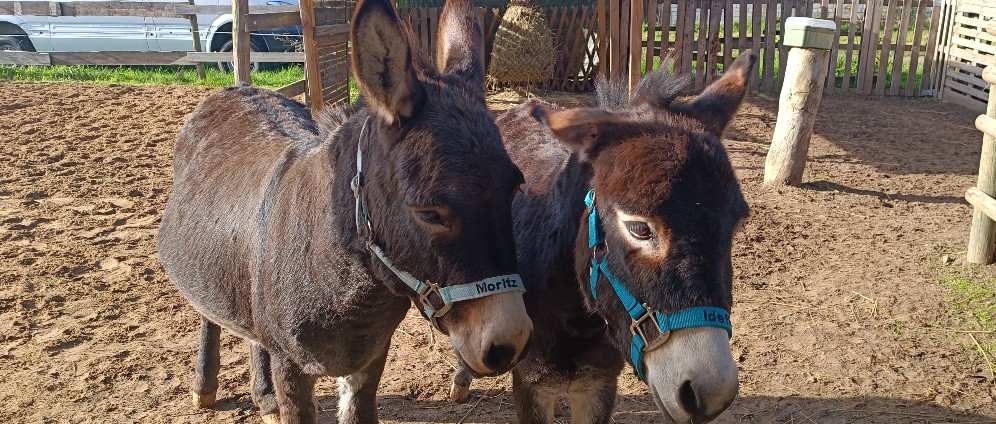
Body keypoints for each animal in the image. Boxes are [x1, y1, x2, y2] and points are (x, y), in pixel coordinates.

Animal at [156, 0, 533, 422]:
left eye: (514, 189)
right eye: (429, 213)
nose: (509, 345)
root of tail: (237, 87)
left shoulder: (370, 356)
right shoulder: (291, 365)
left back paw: (263, 395)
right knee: (210, 315)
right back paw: (204, 389)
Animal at [448, 51, 758, 424]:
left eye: (737, 225)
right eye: (640, 229)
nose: (711, 394)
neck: (579, 319)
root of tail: (527, 104)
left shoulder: (597, 384)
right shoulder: (530, 383)